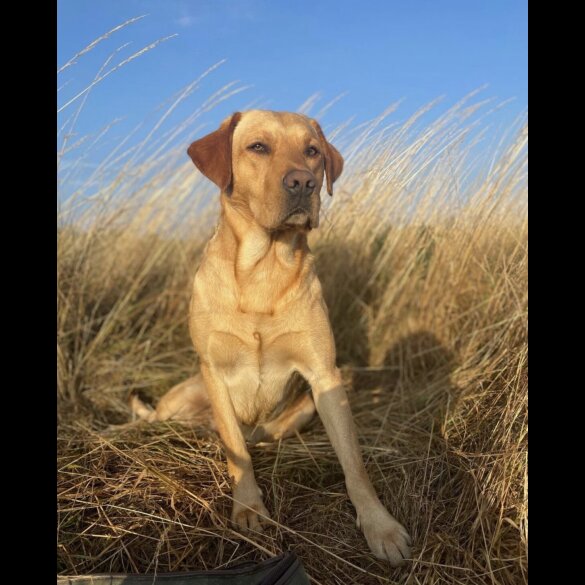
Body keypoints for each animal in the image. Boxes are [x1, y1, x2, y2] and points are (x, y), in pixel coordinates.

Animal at [132, 110, 410, 564]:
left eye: (312, 151)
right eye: (258, 147)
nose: (303, 182)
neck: (263, 268)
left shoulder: (325, 376)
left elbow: (354, 463)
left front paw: (379, 526)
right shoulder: (213, 370)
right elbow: (236, 451)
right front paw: (248, 509)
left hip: (305, 405)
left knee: (263, 435)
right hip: (186, 394)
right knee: (159, 418)